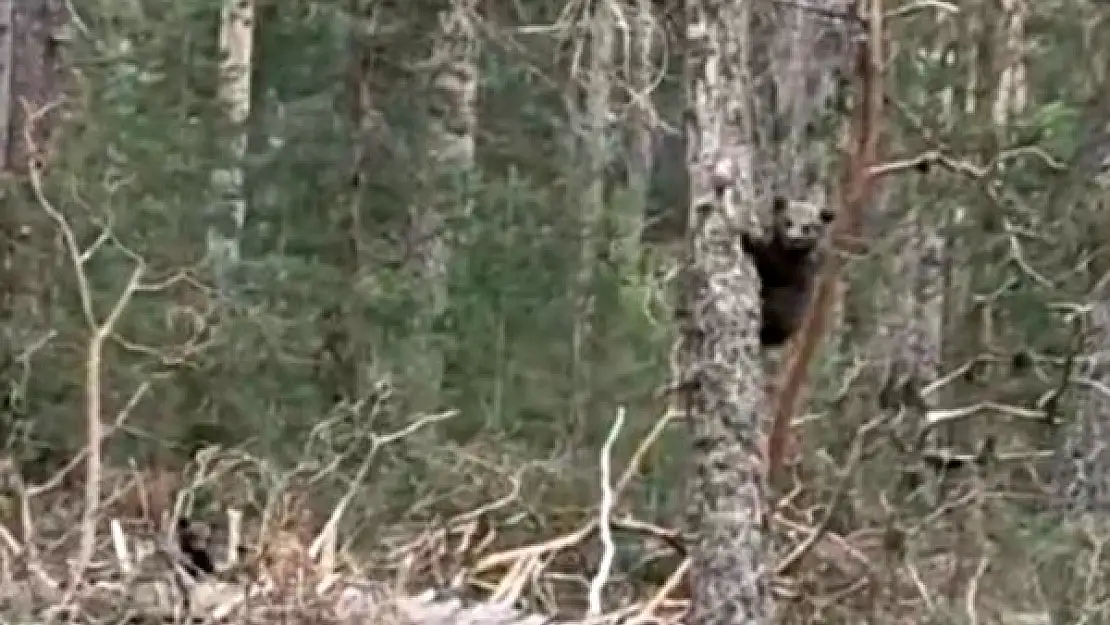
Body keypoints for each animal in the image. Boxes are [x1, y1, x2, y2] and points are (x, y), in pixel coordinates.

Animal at [745, 196, 834, 346]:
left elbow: (772, 265)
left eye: (806, 227)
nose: (793, 238)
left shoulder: (798, 269)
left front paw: (748, 238)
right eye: (788, 221)